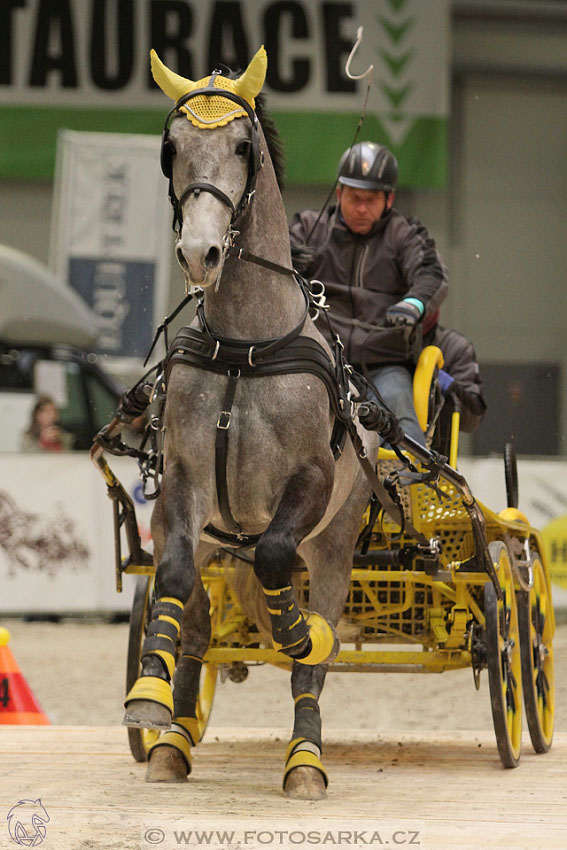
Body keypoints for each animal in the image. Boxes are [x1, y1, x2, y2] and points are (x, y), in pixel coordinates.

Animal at [125, 46, 378, 800]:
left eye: (244, 147)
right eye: (171, 149)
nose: (199, 254)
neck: (246, 347)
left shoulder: (311, 483)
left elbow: (274, 562)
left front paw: (298, 635)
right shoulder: (182, 486)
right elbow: (174, 583)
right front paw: (150, 701)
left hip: (336, 543)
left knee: (319, 640)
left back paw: (305, 755)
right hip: (219, 544)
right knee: (199, 627)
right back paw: (173, 741)